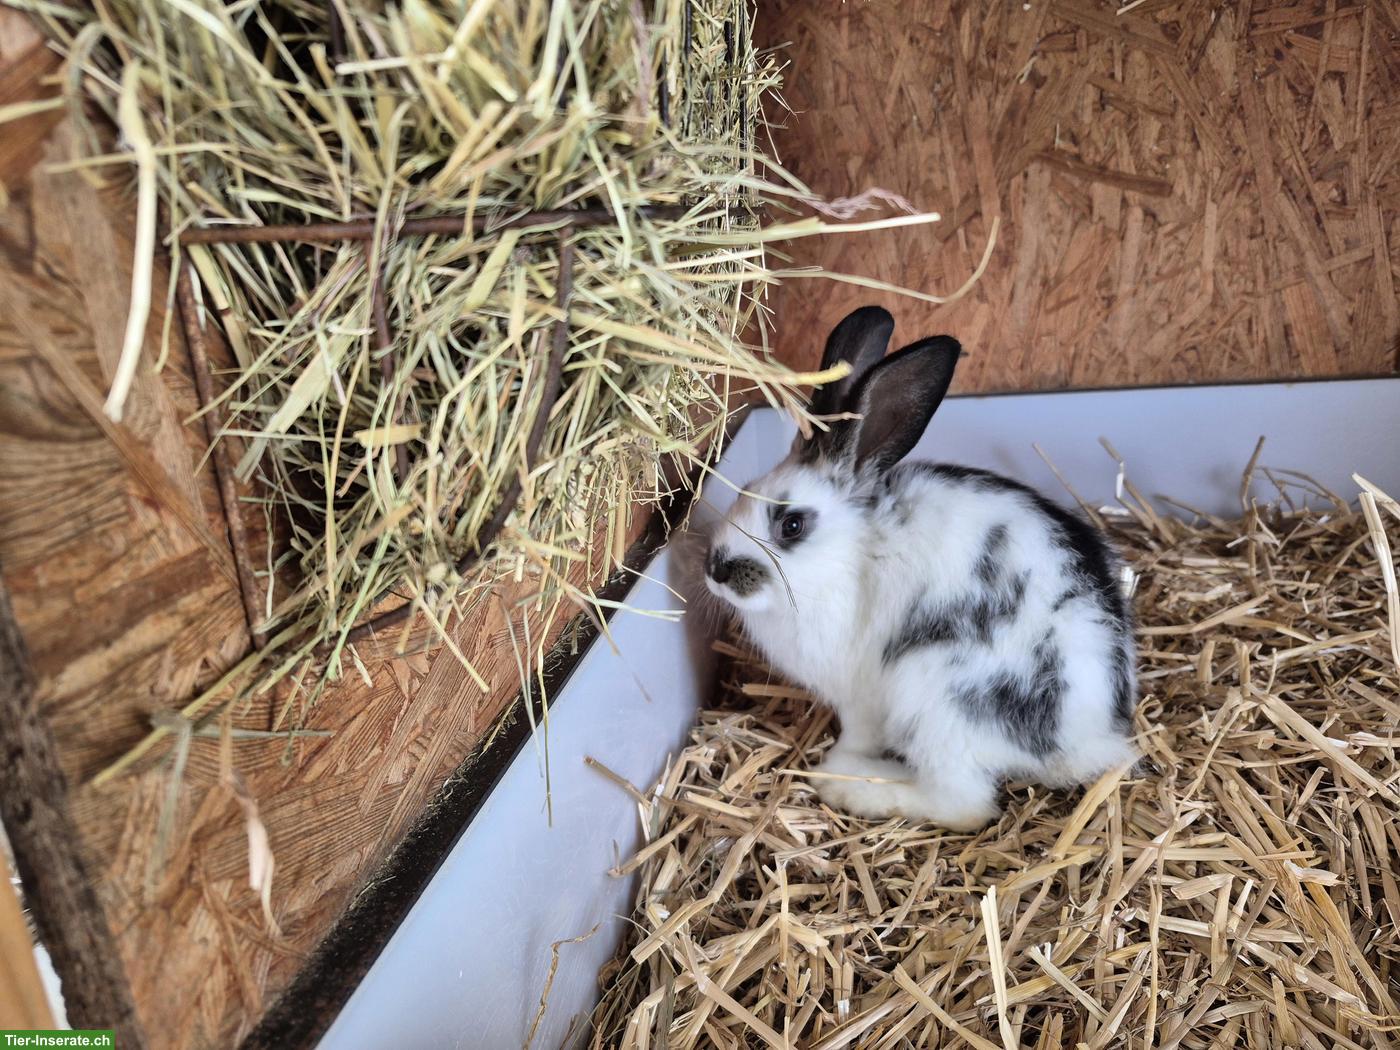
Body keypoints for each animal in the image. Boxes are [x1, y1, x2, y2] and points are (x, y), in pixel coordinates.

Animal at [703, 305, 1138, 831]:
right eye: (744, 490)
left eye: (791, 524)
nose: (716, 570)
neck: (851, 554)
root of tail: (1083, 741)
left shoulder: (859, 700)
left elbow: (858, 733)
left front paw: (842, 759)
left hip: (934, 703)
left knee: (964, 804)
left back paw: (848, 783)